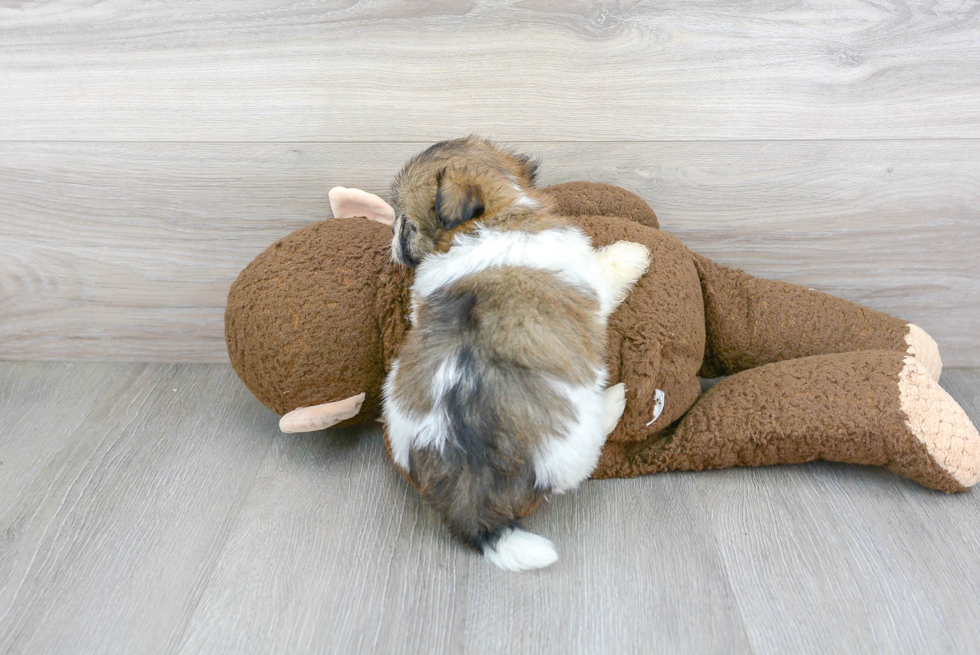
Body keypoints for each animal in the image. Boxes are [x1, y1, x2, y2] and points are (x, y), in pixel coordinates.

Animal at [382, 136, 652, 572]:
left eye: (406, 223)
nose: (391, 233)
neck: (493, 221)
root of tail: (470, 502)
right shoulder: (588, 276)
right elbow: (607, 271)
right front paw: (633, 253)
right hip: (575, 445)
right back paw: (613, 401)